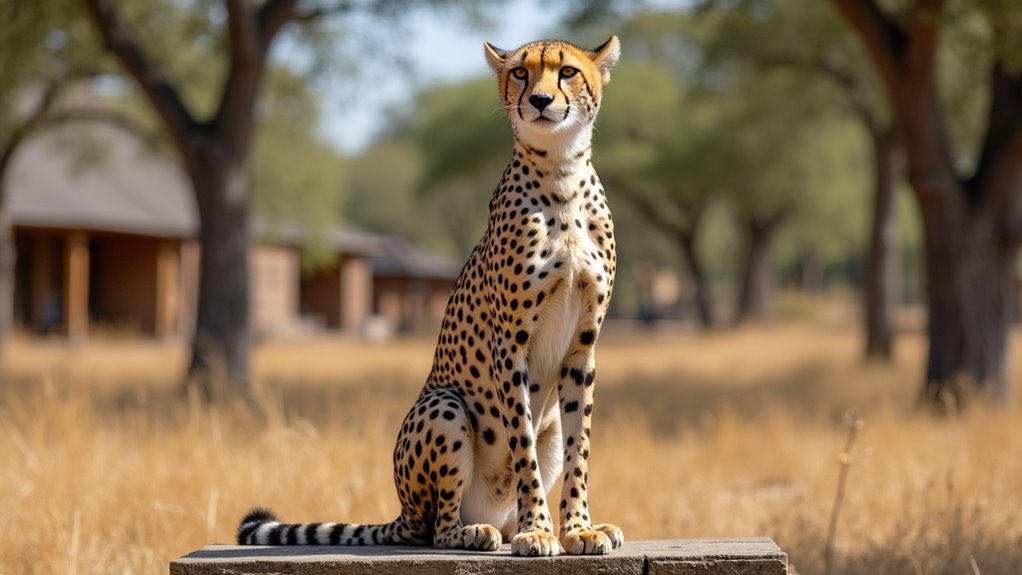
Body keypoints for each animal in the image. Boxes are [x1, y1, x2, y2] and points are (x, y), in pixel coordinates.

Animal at [237, 36, 622, 557]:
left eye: (566, 72)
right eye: (521, 73)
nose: (541, 101)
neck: (561, 172)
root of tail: (403, 512)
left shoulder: (583, 349)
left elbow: (580, 449)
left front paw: (579, 527)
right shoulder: (509, 346)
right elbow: (522, 447)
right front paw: (540, 530)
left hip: (542, 427)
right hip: (444, 406)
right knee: (437, 527)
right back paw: (476, 532)